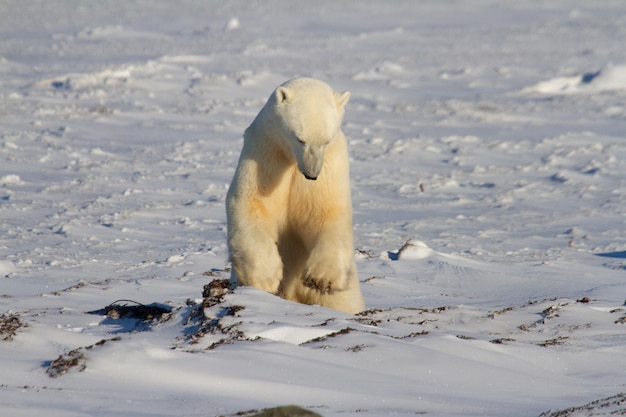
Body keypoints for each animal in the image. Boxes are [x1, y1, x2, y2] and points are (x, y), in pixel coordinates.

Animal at [225, 77, 364, 312]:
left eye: (326, 140)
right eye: (300, 139)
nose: (311, 174)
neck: (292, 160)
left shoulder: (330, 164)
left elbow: (326, 212)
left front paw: (321, 278)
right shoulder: (266, 152)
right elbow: (252, 203)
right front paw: (267, 278)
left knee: (345, 302)